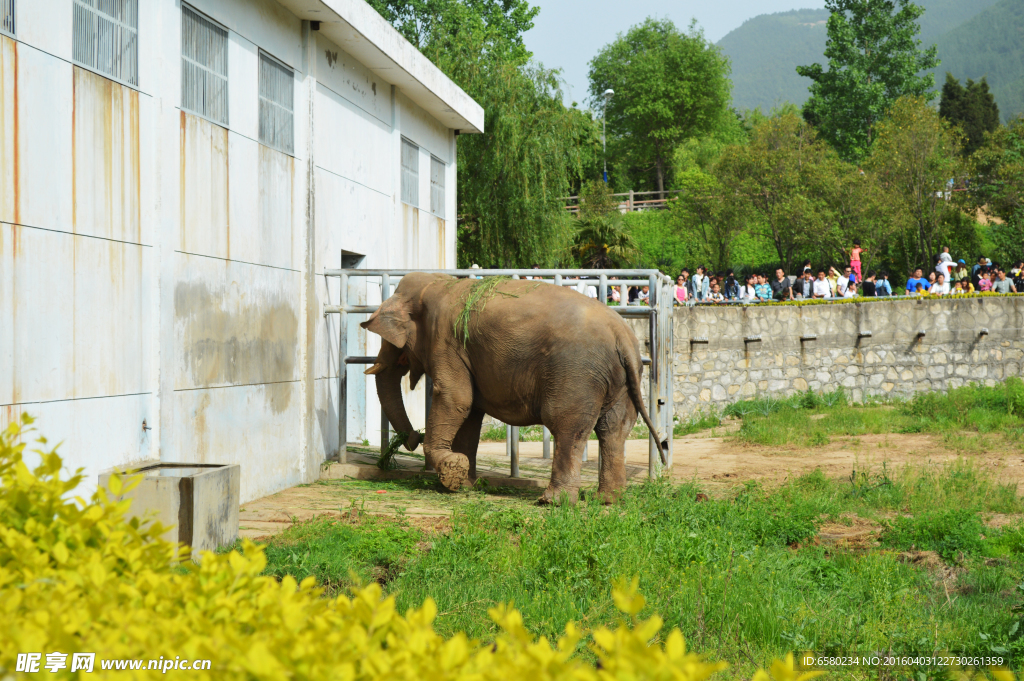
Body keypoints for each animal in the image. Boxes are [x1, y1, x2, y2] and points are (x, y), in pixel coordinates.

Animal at [361, 272, 666, 503]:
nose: (412, 438)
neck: (436, 282)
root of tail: (623, 336)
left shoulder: (445, 341)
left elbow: (455, 398)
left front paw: (452, 470)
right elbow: (470, 412)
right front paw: (466, 484)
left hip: (577, 374)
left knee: (568, 428)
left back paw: (552, 502)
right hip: (619, 379)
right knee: (613, 430)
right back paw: (608, 500)